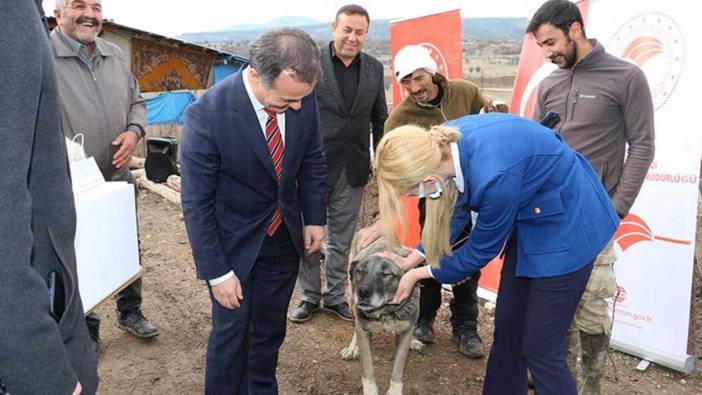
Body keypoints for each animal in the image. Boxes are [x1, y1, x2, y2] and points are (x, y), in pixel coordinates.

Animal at [340, 230, 418, 394]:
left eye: (386, 274)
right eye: (359, 271)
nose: (362, 292)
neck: (385, 311)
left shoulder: (405, 331)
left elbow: (398, 368)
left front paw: (395, 391)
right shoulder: (364, 330)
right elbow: (368, 369)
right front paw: (371, 390)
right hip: (351, 304)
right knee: (355, 326)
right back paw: (352, 348)